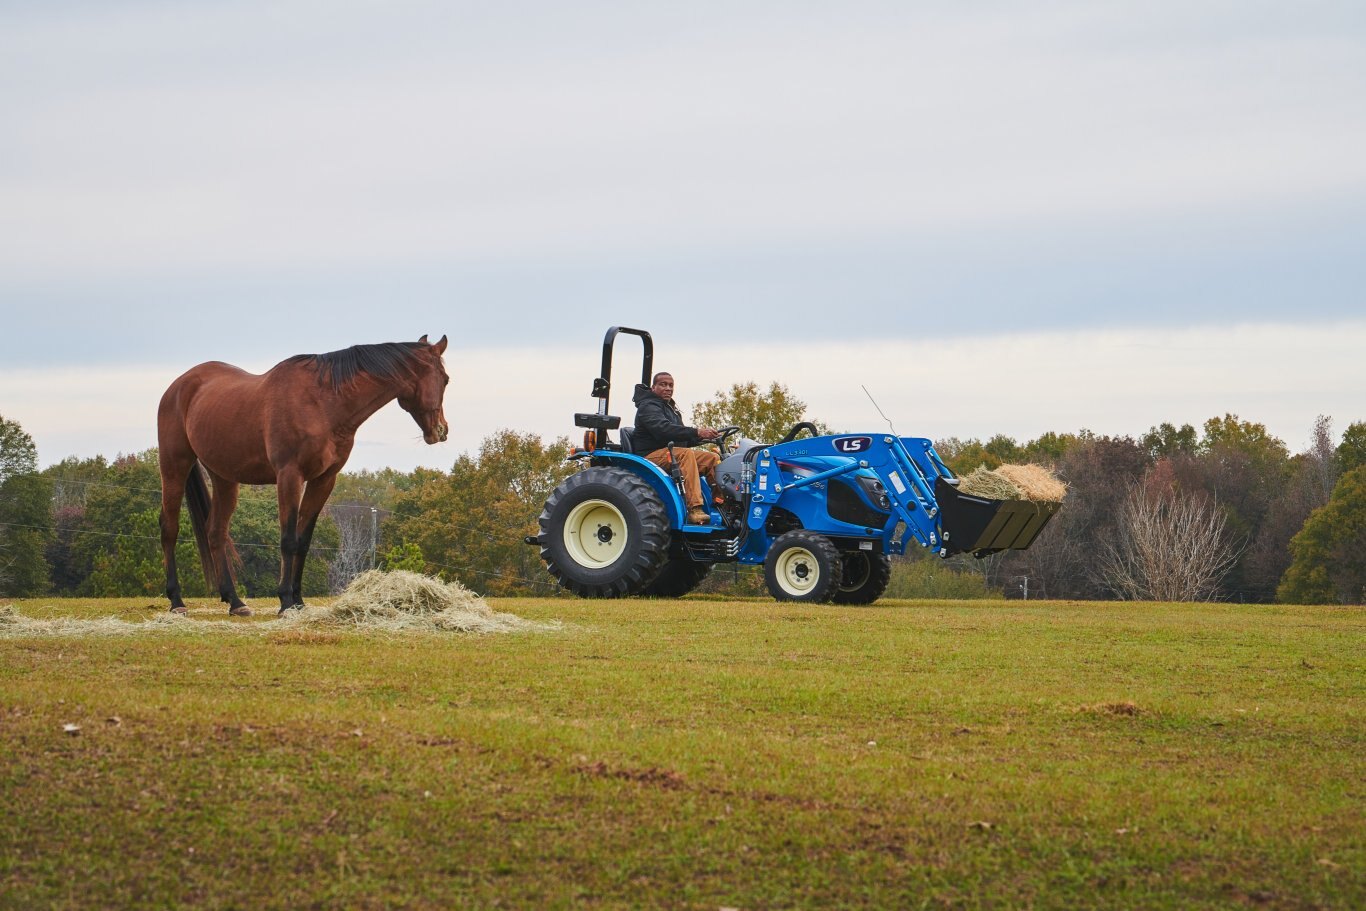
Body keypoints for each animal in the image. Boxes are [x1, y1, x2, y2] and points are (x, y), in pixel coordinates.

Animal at [159, 338, 448, 617]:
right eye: (445, 378)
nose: (441, 431)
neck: (322, 404)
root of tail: (179, 386)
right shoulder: (290, 475)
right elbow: (288, 539)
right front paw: (286, 601)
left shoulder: (324, 480)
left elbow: (303, 541)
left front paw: (298, 600)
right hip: (174, 466)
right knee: (169, 528)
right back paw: (176, 601)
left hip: (224, 478)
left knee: (216, 532)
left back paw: (235, 601)